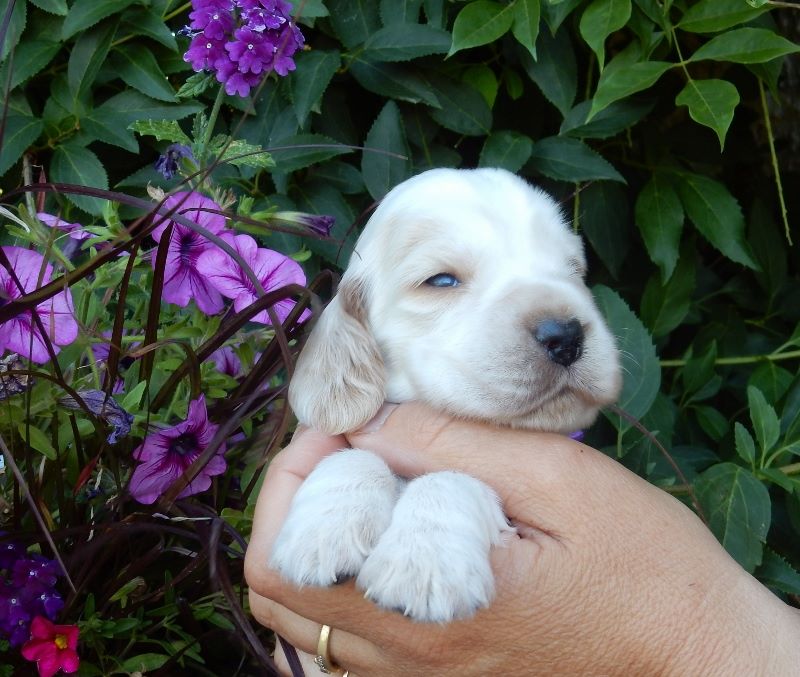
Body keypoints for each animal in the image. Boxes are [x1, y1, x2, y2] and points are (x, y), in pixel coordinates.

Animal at [270, 168, 622, 623]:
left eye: (573, 270)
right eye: (440, 280)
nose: (566, 336)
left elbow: (454, 478)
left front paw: (423, 564)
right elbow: (354, 456)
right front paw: (324, 530)